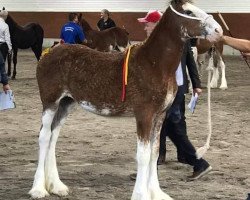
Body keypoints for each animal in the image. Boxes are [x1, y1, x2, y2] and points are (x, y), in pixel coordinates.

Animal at [29, 0, 223, 199]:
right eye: (188, 11)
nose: (218, 30)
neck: (154, 64)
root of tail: (48, 53)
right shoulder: (144, 115)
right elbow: (143, 155)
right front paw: (141, 194)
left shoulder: (160, 115)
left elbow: (154, 153)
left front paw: (156, 193)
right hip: (50, 102)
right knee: (44, 136)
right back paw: (38, 189)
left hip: (66, 103)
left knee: (53, 136)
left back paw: (57, 186)